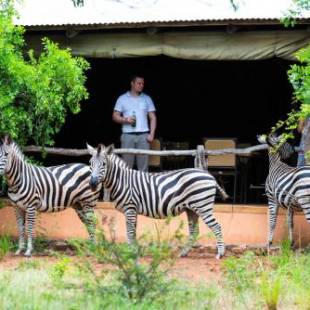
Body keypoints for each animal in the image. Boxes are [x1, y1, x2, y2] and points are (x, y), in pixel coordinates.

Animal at [87, 143, 228, 260]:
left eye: (104, 164)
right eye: (90, 163)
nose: (92, 184)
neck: (121, 181)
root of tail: (209, 175)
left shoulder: (130, 208)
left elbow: (130, 232)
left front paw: (131, 252)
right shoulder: (134, 210)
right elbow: (133, 232)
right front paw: (135, 250)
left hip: (203, 206)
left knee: (217, 227)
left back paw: (220, 254)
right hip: (191, 209)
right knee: (194, 231)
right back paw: (183, 253)